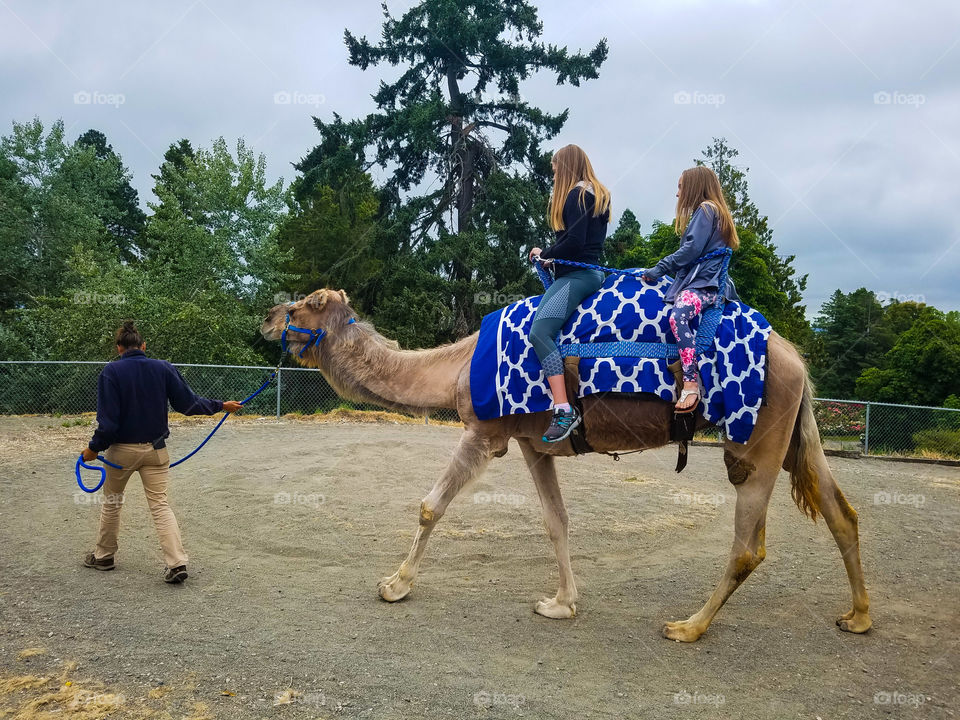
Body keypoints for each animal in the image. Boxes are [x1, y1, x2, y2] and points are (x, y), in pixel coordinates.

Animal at [260, 288, 872, 641]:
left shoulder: (485, 430)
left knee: (749, 546)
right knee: (841, 512)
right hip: (794, 434)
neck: (458, 366)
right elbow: (557, 521)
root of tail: (795, 357)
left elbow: (431, 506)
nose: (266, 319)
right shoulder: (534, 442)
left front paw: (395, 585)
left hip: (755, 439)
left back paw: (688, 627)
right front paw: (560, 604)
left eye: (302, 305)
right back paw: (858, 616)